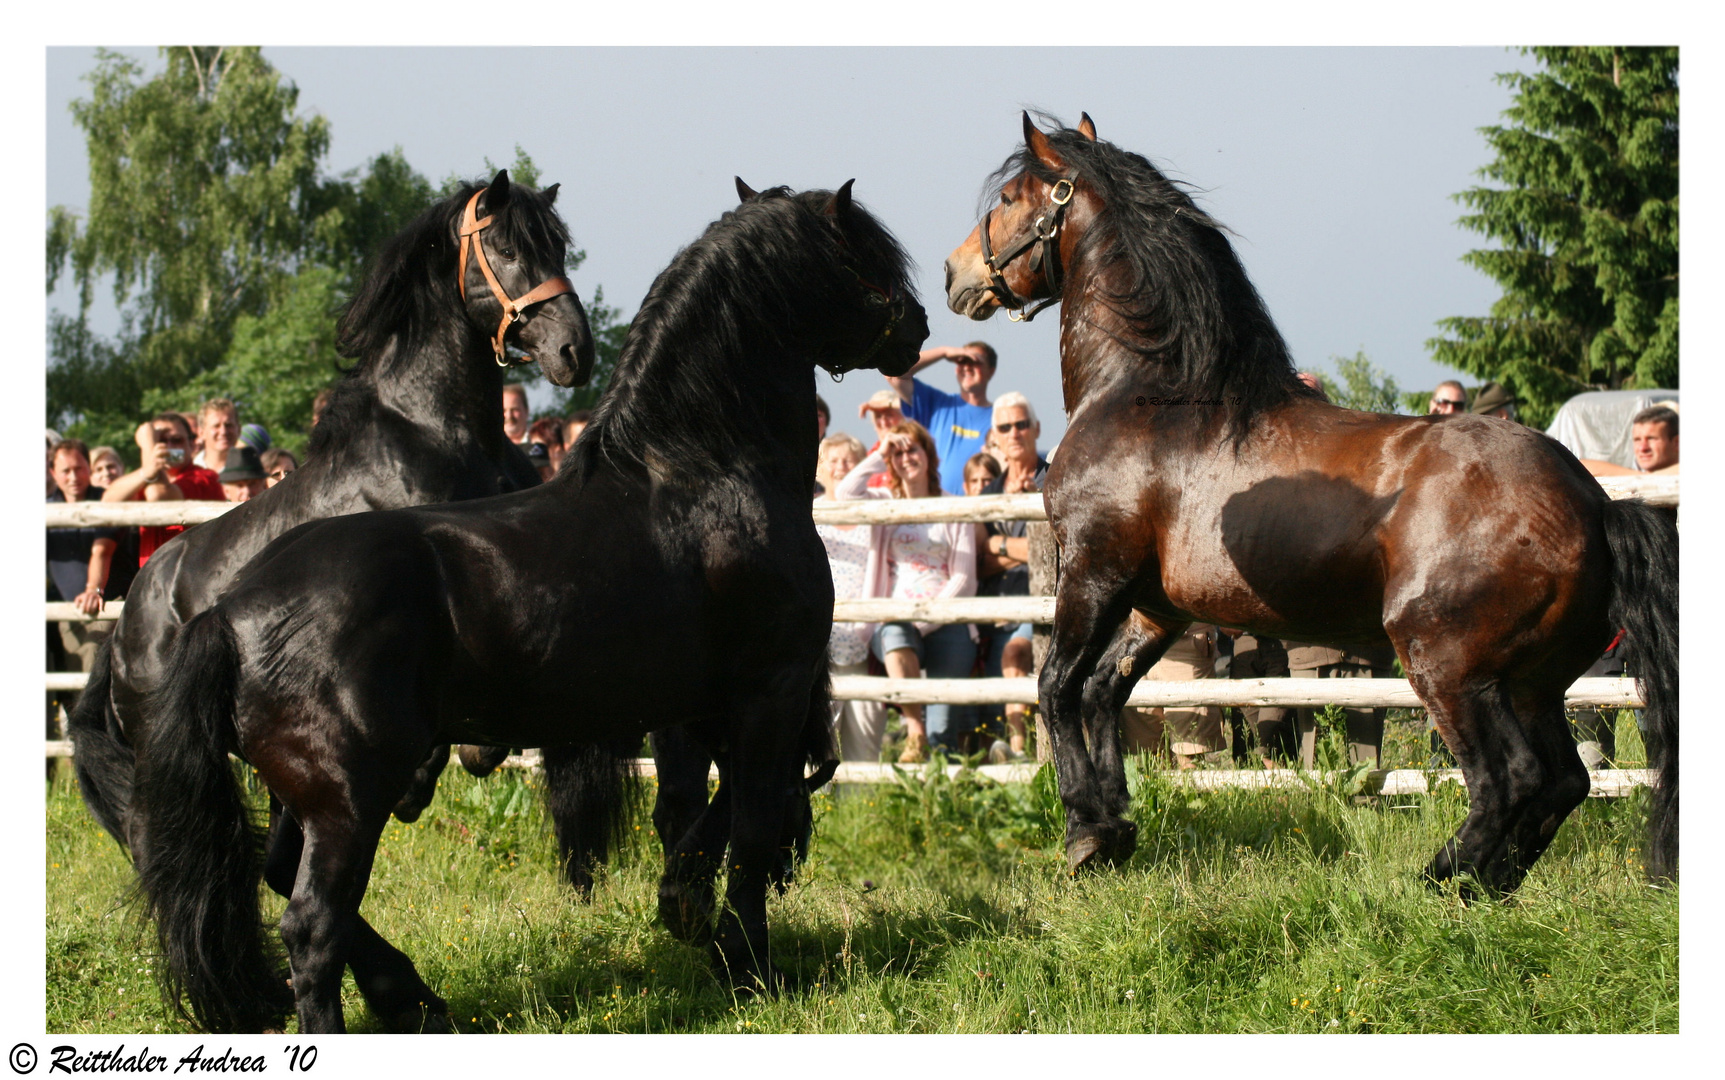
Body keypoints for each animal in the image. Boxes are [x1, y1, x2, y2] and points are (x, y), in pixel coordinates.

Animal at [70, 169, 593, 1028]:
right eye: (507, 246)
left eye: (559, 245)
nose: (572, 349)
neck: (437, 438)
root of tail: (124, 635)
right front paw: (443, 768)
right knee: (249, 871)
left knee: (278, 869)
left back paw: (404, 992)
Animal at [131, 176, 931, 1028]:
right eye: (862, 255)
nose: (916, 324)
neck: (703, 473)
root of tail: (226, 612)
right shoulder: (769, 691)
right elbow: (751, 821)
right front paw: (748, 963)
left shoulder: (700, 706)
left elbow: (702, 812)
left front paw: (688, 912)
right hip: (348, 802)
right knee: (312, 925)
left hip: (301, 799)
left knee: (283, 876)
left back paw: (414, 995)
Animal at [938, 113, 1676, 890]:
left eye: (1011, 196)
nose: (956, 274)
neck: (1151, 398)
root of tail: (1594, 503)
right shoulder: (1156, 607)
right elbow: (1103, 692)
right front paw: (1114, 828)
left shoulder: (1091, 572)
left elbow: (1055, 687)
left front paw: (1084, 833)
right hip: (1536, 680)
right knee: (1564, 780)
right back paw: (1489, 884)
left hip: (1452, 670)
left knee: (1512, 778)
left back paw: (1440, 881)